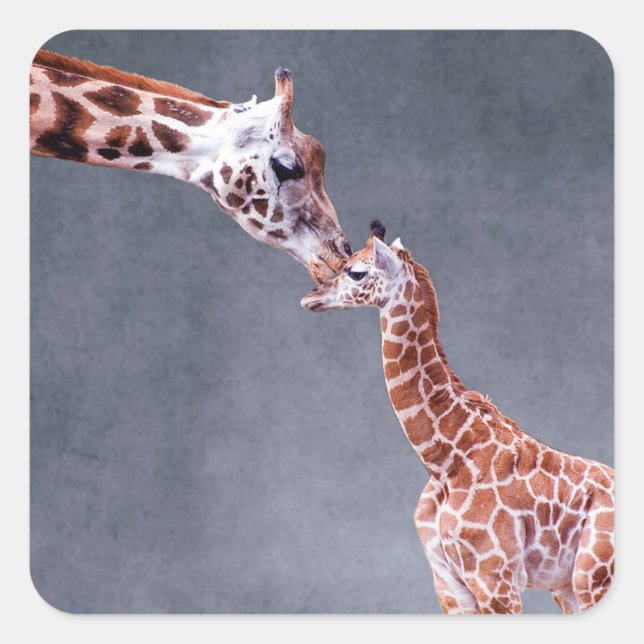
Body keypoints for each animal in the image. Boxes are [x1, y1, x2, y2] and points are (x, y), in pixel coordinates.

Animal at [301, 221, 614, 614]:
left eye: (356, 271)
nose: (311, 297)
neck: (445, 460)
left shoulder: (495, 580)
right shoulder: (448, 583)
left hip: (592, 575)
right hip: (567, 584)